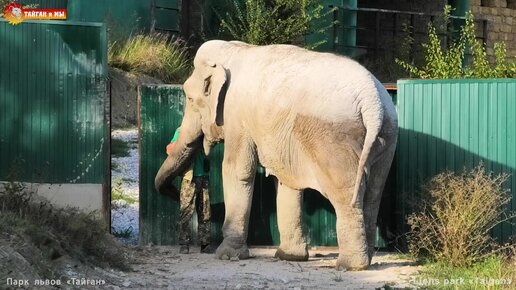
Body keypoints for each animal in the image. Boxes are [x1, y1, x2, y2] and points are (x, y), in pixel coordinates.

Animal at [154, 39, 400, 270]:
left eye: (190, 99)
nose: (176, 194)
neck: (233, 50)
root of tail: (373, 101)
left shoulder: (237, 117)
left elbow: (237, 170)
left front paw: (227, 256)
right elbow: (285, 182)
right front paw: (289, 257)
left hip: (337, 140)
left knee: (346, 195)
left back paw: (350, 266)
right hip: (387, 137)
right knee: (374, 193)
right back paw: (365, 260)